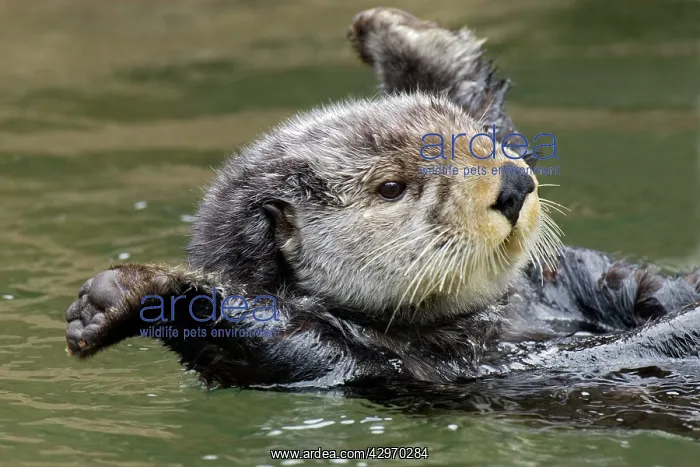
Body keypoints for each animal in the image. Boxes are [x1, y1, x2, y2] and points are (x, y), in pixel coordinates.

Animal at [64, 8, 700, 391]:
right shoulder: (362, 365)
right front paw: (125, 294)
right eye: (391, 187)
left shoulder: (568, 279)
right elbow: (269, 343)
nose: (513, 187)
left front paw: (396, 35)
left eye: (476, 137)